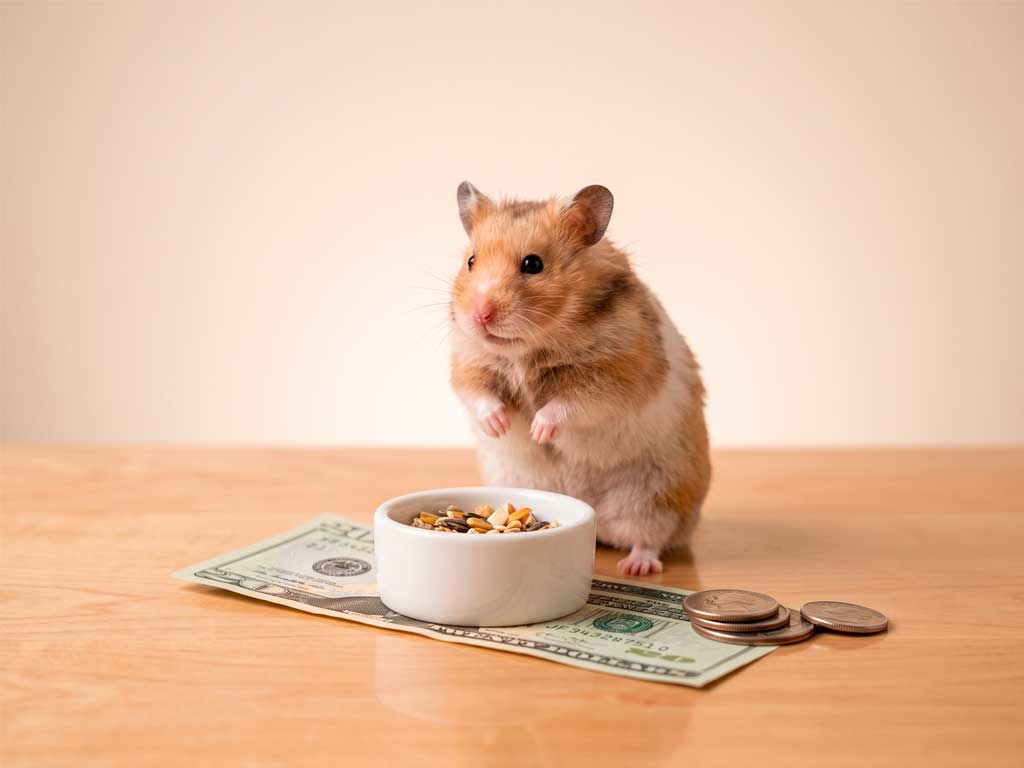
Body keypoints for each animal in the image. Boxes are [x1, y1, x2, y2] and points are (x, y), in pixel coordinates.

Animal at [448, 181, 711, 576]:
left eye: (533, 264)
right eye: (471, 261)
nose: (480, 315)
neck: (527, 348)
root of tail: (598, 522)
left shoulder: (617, 374)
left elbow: (570, 404)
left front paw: (539, 430)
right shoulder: (469, 362)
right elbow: (479, 394)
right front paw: (499, 425)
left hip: (653, 497)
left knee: (649, 538)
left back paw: (635, 567)